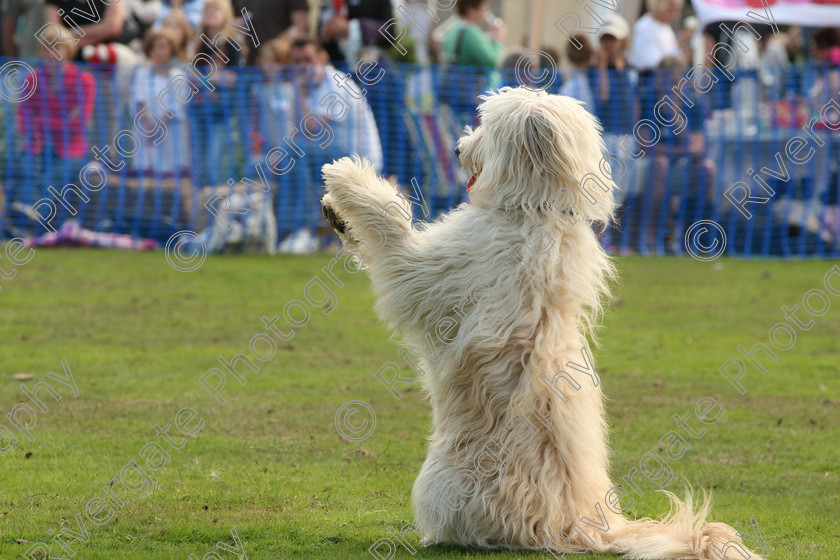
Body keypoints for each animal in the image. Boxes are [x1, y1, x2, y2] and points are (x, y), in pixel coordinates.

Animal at [320, 87, 760, 560]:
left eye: (488, 127)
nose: (457, 148)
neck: (535, 210)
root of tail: (584, 528)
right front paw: (336, 215)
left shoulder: (425, 276)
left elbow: (392, 228)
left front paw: (347, 177)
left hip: (439, 482)